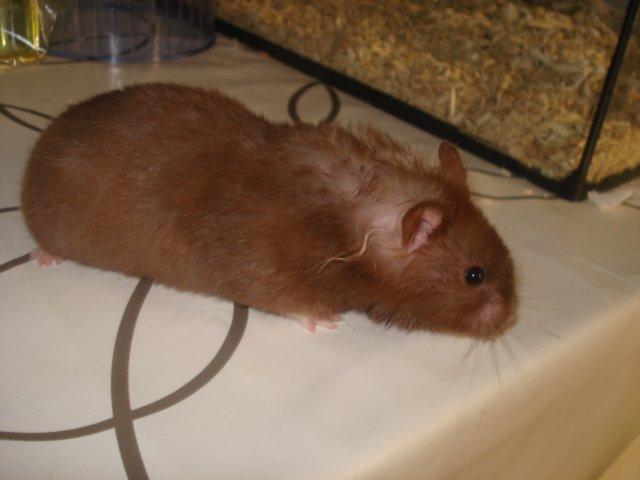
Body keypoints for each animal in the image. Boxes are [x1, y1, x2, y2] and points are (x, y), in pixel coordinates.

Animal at [21, 83, 516, 339]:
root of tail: (43, 142)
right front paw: (332, 322)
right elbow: (296, 304)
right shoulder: (271, 274)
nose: (511, 317)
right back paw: (43, 258)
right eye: (474, 276)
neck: (345, 230)